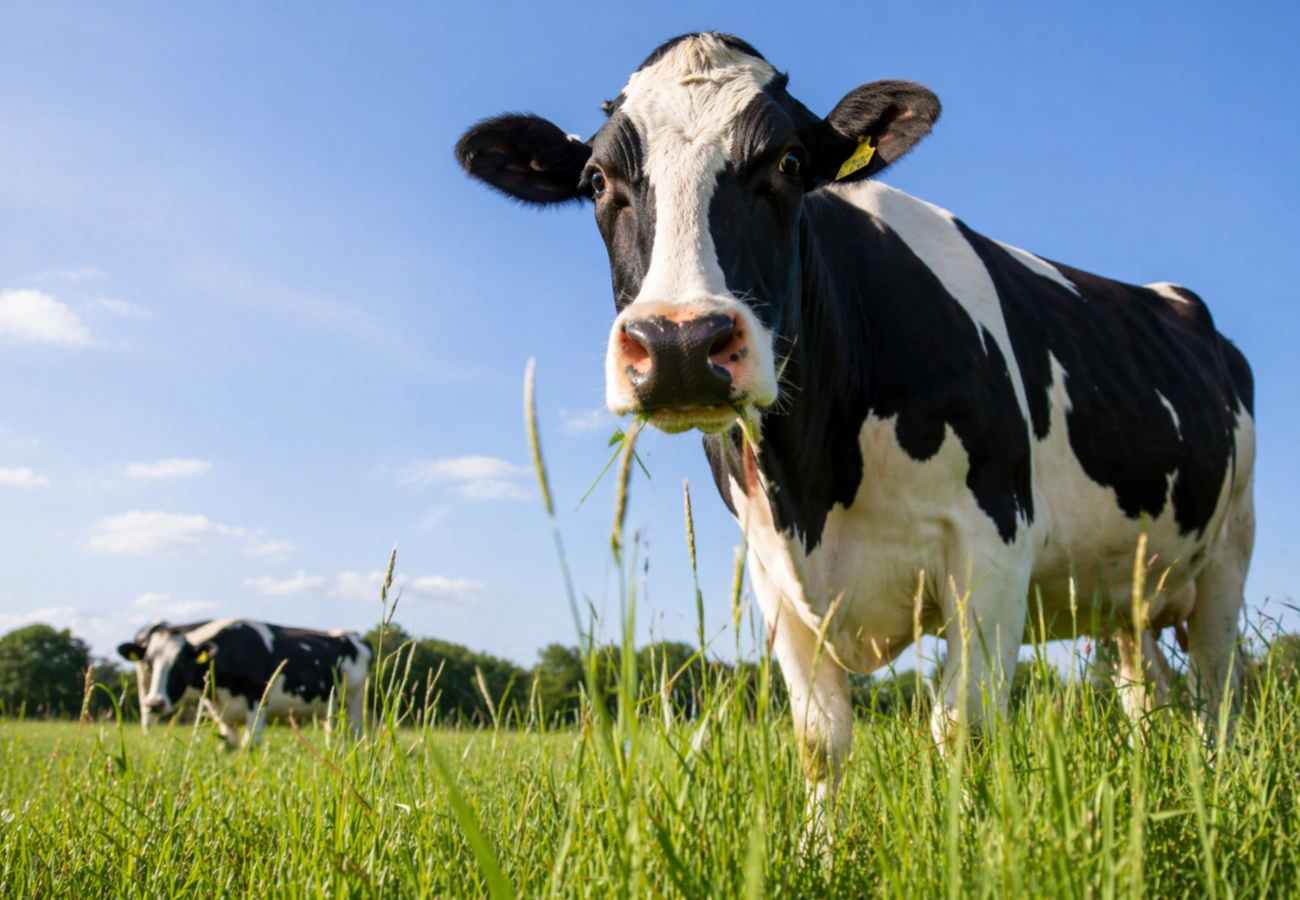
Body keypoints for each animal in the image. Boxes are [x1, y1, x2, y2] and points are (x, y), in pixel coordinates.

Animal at [117, 618, 372, 748]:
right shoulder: (219, 711)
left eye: (180, 663)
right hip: (331, 705)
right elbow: (229, 744)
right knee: (332, 728)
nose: (154, 703)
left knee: (356, 731)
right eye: (149, 662)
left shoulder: (257, 698)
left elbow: (250, 743)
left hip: (355, 700)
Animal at [455, 32, 1255, 820]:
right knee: (1148, 691)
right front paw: (818, 847)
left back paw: (1216, 796)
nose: (680, 344)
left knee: (1217, 690)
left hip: (1227, 553)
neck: (815, 483)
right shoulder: (773, 570)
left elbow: (962, 726)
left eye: (788, 162)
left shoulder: (995, 540)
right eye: (596, 180)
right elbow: (821, 743)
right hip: (1124, 586)